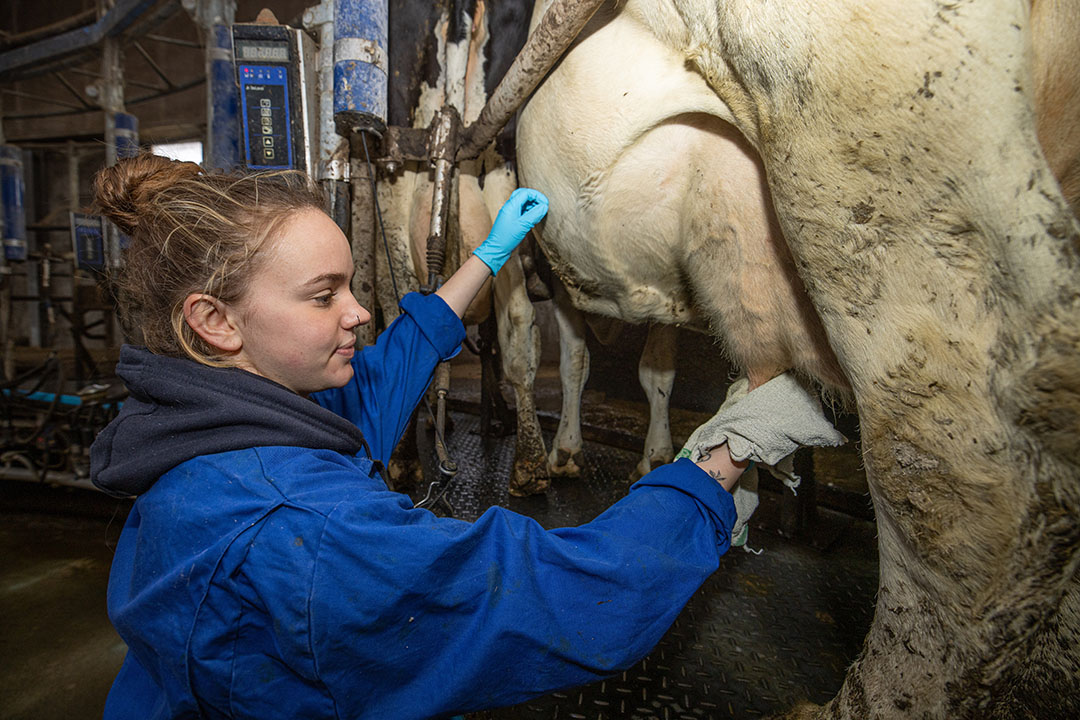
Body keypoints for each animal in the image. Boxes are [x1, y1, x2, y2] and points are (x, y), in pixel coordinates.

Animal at [516, 1, 1080, 720]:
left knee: (946, 479)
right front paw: (638, 455)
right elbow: (640, 369)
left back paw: (865, 699)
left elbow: (551, 355)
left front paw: (548, 458)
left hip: (872, 203)